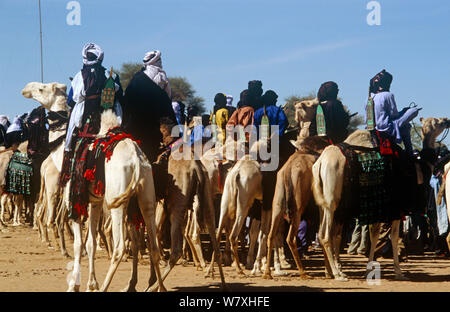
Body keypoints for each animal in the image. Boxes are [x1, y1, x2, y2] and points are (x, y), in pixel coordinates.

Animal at [21, 81, 165, 292]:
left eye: (42, 88)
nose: (26, 89)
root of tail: (137, 161)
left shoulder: (74, 200)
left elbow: (78, 244)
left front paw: (75, 285)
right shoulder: (94, 201)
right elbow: (91, 243)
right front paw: (91, 283)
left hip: (117, 201)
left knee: (120, 247)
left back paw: (107, 286)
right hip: (146, 197)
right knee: (153, 245)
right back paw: (156, 286)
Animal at [312, 117, 450, 280]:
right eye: (437, 122)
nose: (447, 120)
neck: (418, 169)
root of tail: (321, 163)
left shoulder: (380, 208)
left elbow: (375, 235)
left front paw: (369, 269)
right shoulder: (396, 209)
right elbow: (392, 237)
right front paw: (398, 272)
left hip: (324, 203)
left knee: (325, 233)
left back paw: (330, 272)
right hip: (332, 202)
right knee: (326, 235)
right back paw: (338, 274)